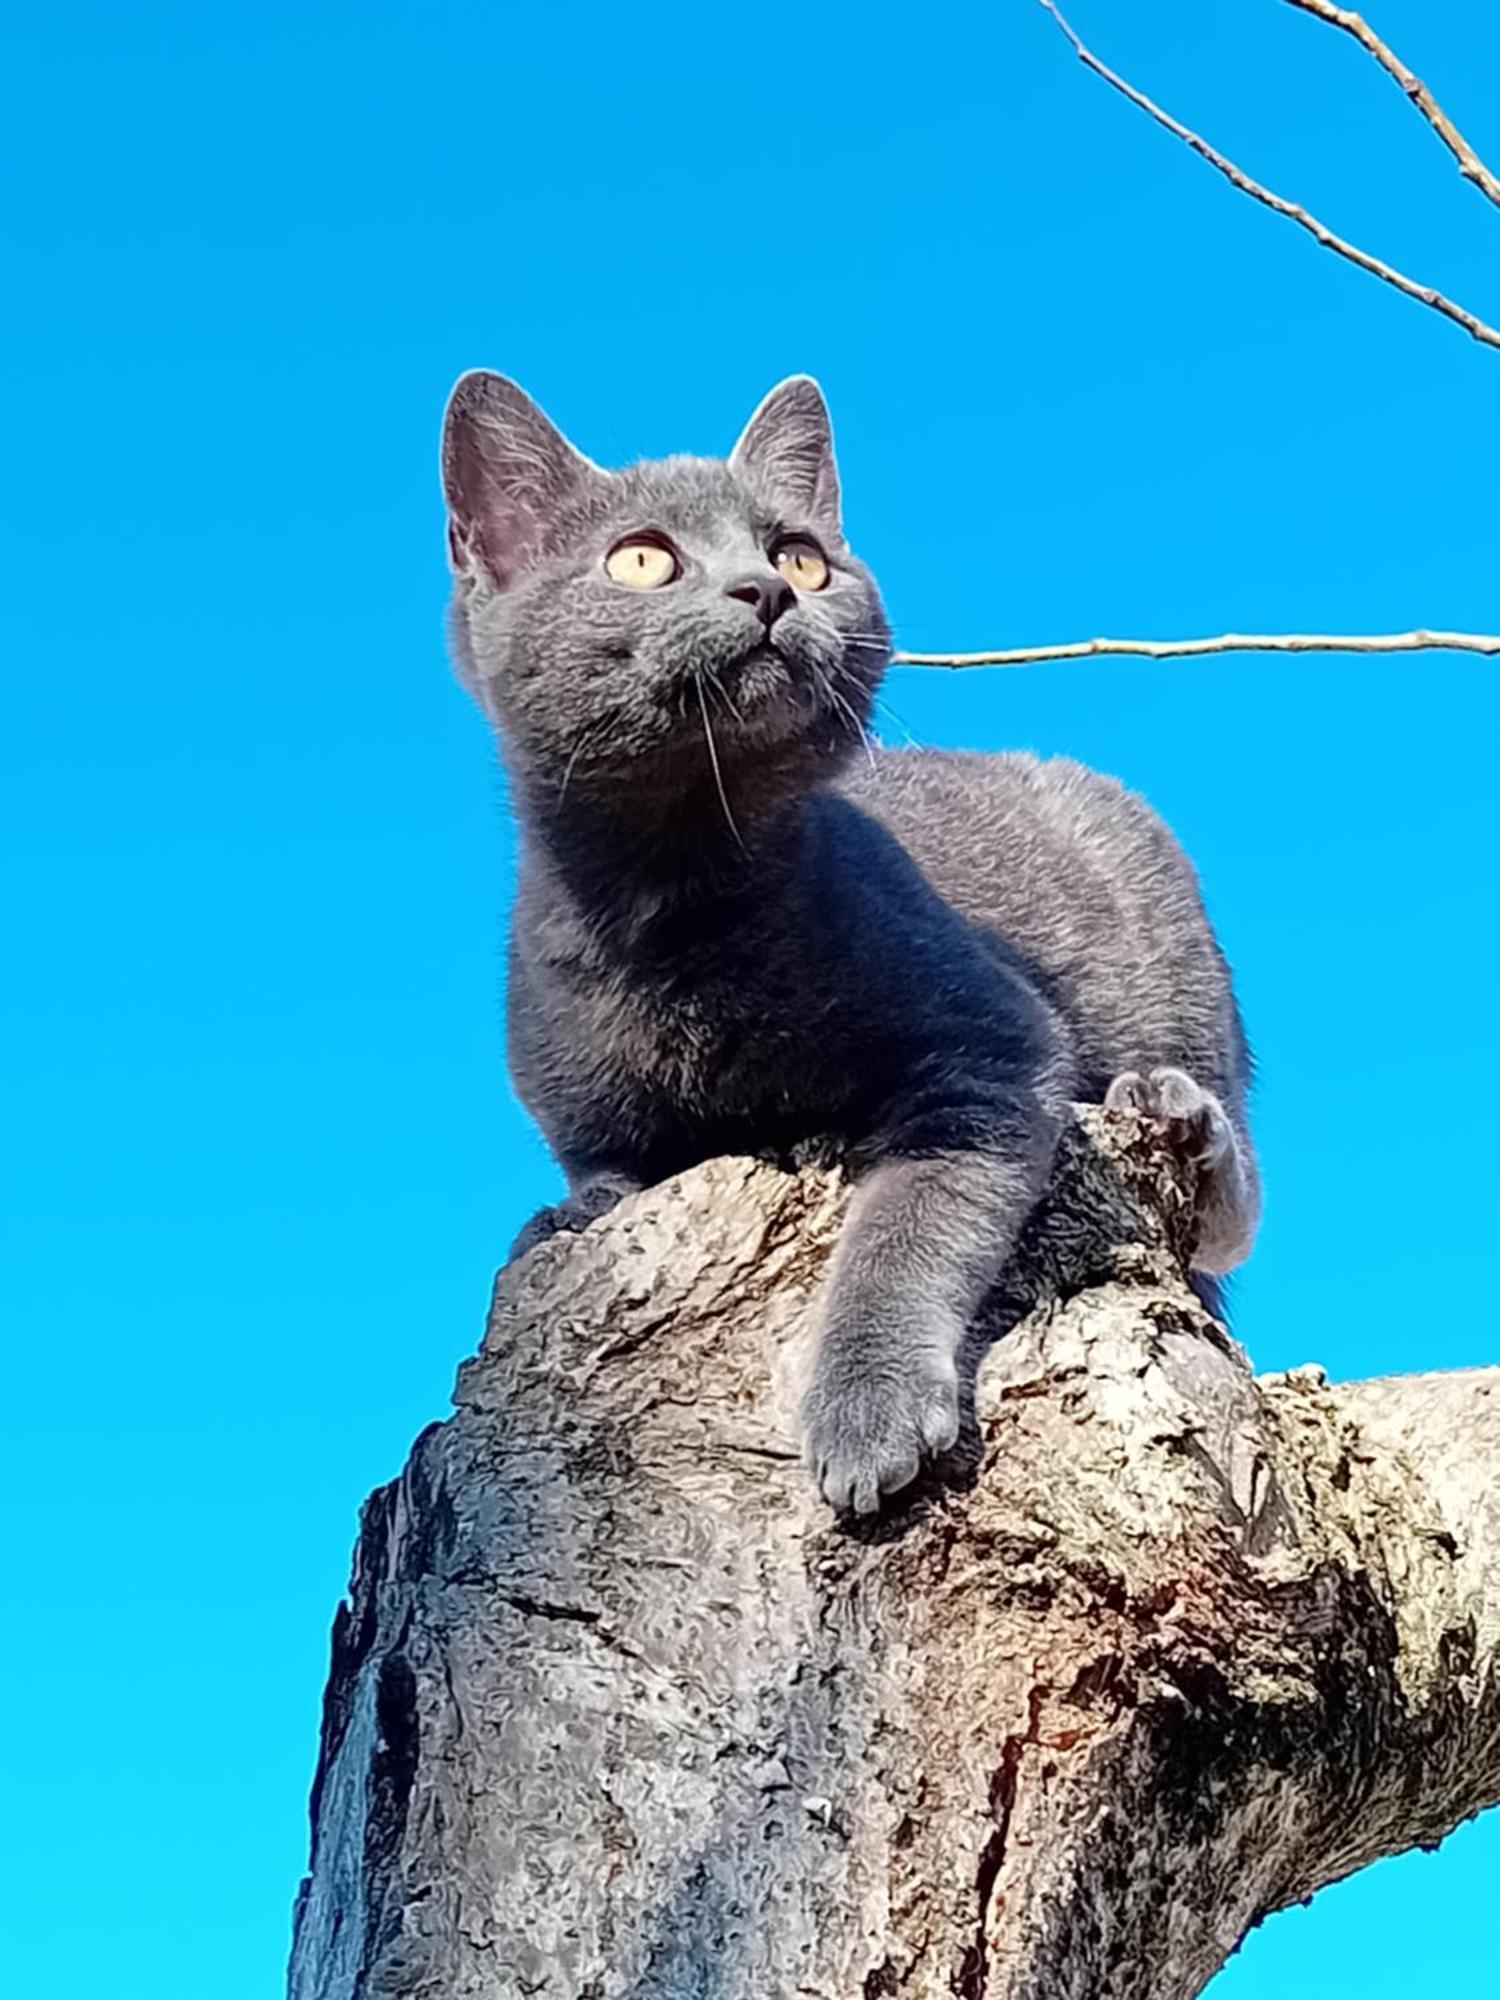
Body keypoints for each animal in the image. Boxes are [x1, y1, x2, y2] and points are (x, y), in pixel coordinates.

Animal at [440, 372, 1264, 1512]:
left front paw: (868, 1411)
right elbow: (608, 1177)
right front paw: (559, 1224)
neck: (676, 903)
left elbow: (908, 1224)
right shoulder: (595, 1129)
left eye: (800, 556)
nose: (766, 592)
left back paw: (1174, 1109)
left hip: (1164, 934)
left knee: (1236, 1206)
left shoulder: (991, 1046)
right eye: (643, 558)